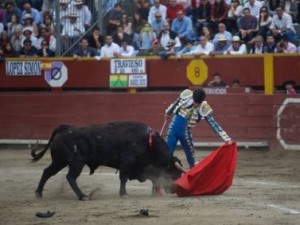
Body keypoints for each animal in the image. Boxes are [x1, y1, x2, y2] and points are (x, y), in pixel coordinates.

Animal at [31, 121, 184, 199]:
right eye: (175, 174)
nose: (174, 190)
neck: (148, 142)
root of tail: (64, 128)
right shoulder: (127, 162)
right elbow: (123, 178)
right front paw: (124, 194)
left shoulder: (143, 167)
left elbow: (154, 178)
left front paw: (154, 192)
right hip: (76, 162)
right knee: (70, 177)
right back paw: (82, 196)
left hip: (59, 161)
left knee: (47, 172)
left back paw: (38, 193)